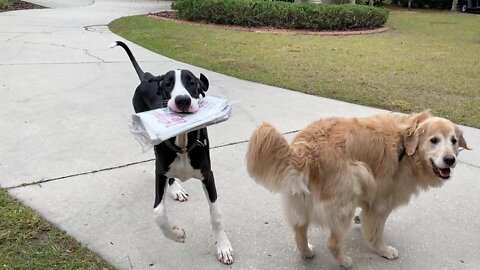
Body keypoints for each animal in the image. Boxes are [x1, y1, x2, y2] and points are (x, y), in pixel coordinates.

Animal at [111, 41, 234, 264]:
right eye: (168, 84)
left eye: (192, 83)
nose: (183, 100)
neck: (183, 141)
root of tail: (147, 77)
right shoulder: (160, 172)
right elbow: (158, 212)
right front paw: (176, 234)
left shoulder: (207, 175)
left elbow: (216, 214)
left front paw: (223, 247)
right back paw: (176, 189)